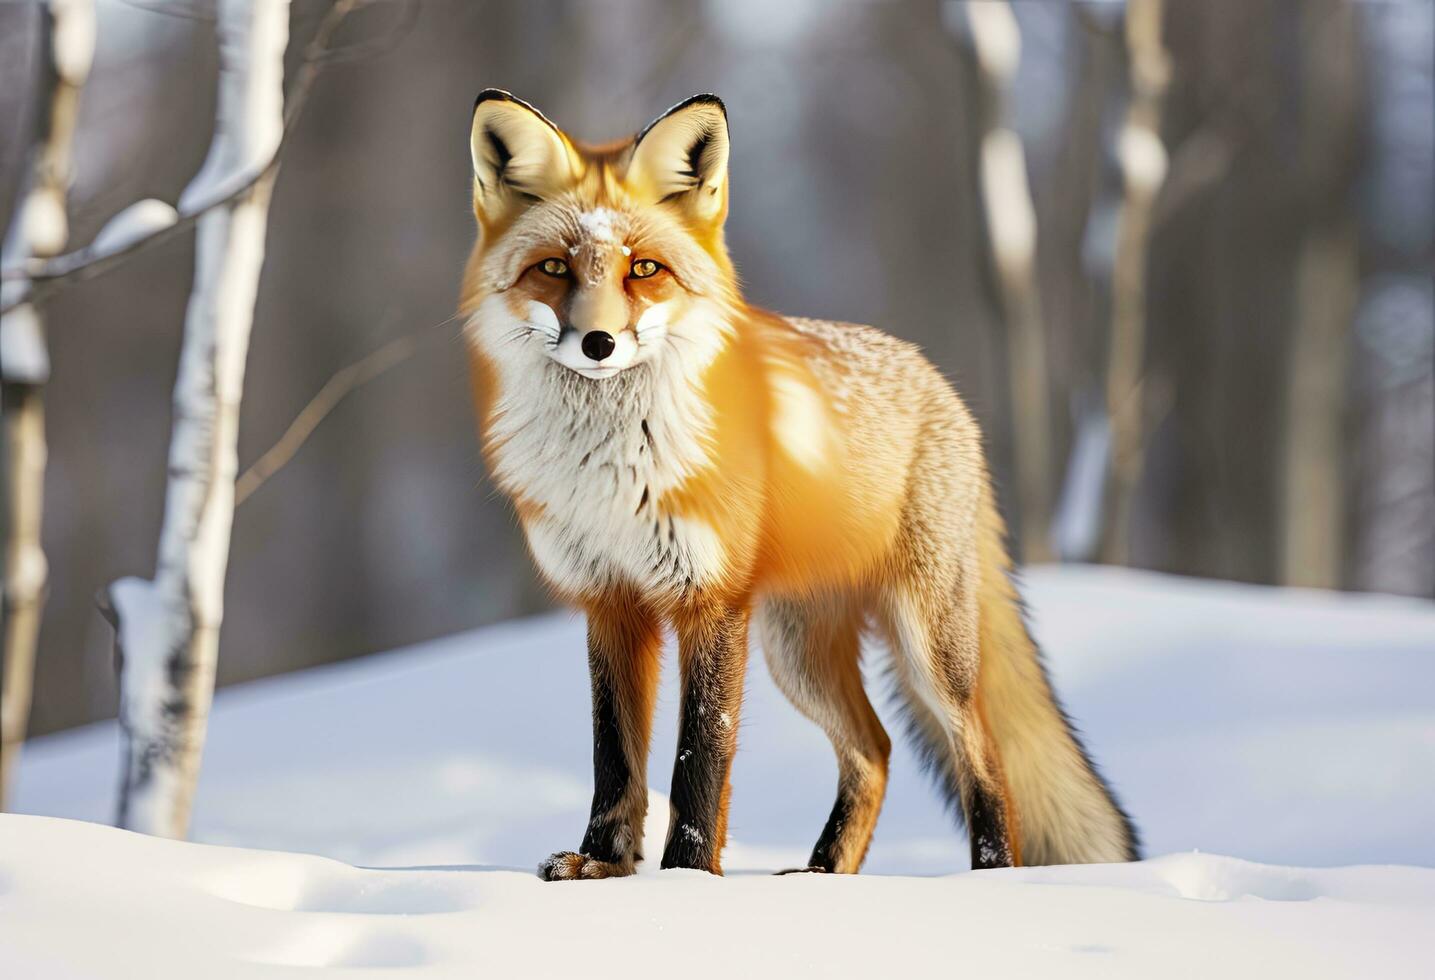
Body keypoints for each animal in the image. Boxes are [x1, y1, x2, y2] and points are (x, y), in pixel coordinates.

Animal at [456, 91, 1130, 883]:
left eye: (644, 268)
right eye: (554, 268)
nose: (598, 343)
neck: (610, 472)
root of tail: (938, 381)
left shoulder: (709, 601)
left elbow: (700, 758)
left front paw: (686, 879)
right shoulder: (610, 601)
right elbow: (614, 758)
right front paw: (602, 866)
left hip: (925, 646)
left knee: (982, 754)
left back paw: (990, 877)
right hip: (797, 654)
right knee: (874, 750)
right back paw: (822, 876)